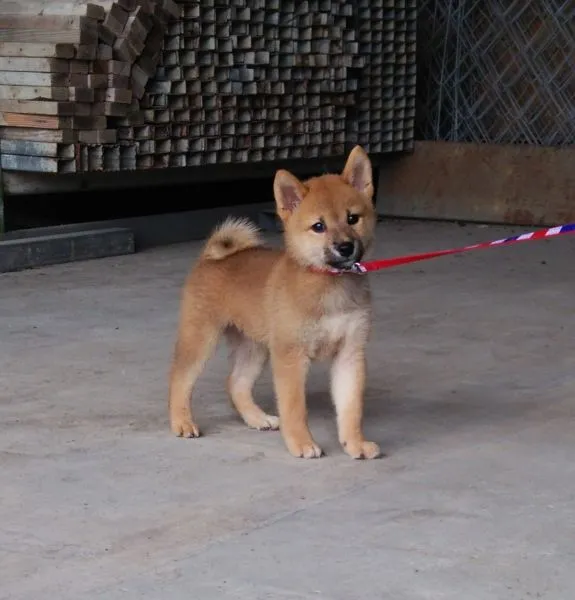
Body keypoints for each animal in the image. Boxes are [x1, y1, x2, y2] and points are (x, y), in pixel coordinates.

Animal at [169, 145, 380, 460]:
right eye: (318, 226)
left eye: (353, 218)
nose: (345, 247)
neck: (329, 285)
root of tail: (211, 256)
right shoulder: (291, 356)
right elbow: (295, 408)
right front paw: (302, 443)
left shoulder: (350, 354)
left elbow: (351, 409)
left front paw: (355, 443)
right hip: (201, 338)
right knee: (180, 378)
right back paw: (181, 421)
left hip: (254, 346)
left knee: (236, 383)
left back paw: (257, 418)